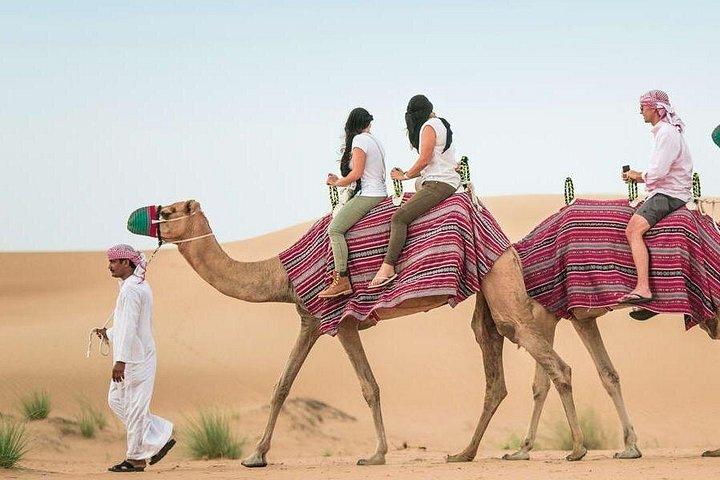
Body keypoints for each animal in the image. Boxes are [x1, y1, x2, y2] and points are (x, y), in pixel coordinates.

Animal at [153, 199, 588, 467]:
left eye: (169, 210)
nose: (148, 218)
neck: (281, 275)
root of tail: (506, 242)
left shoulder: (335, 319)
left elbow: (360, 386)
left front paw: (375, 454)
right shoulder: (319, 321)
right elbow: (291, 385)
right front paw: (256, 456)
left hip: (501, 283)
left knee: (555, 363)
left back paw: (577, 449)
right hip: (489, 291)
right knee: (494, 366)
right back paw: (464, 454)